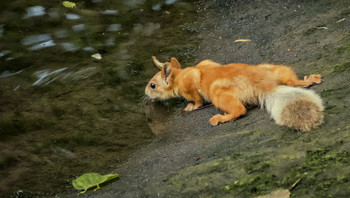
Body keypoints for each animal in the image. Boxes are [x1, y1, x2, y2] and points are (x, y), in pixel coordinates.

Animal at [144, 56, 322, 131]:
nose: (145, 93)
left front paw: (191, 107)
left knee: (239, 110)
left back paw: (221, 118)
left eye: (152, 85)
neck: (179, 75)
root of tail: (264, 84)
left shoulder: (190, 83)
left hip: (217, 92)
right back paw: (308, 80)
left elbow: (197, 99)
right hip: (273, 69)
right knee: (290, 79)